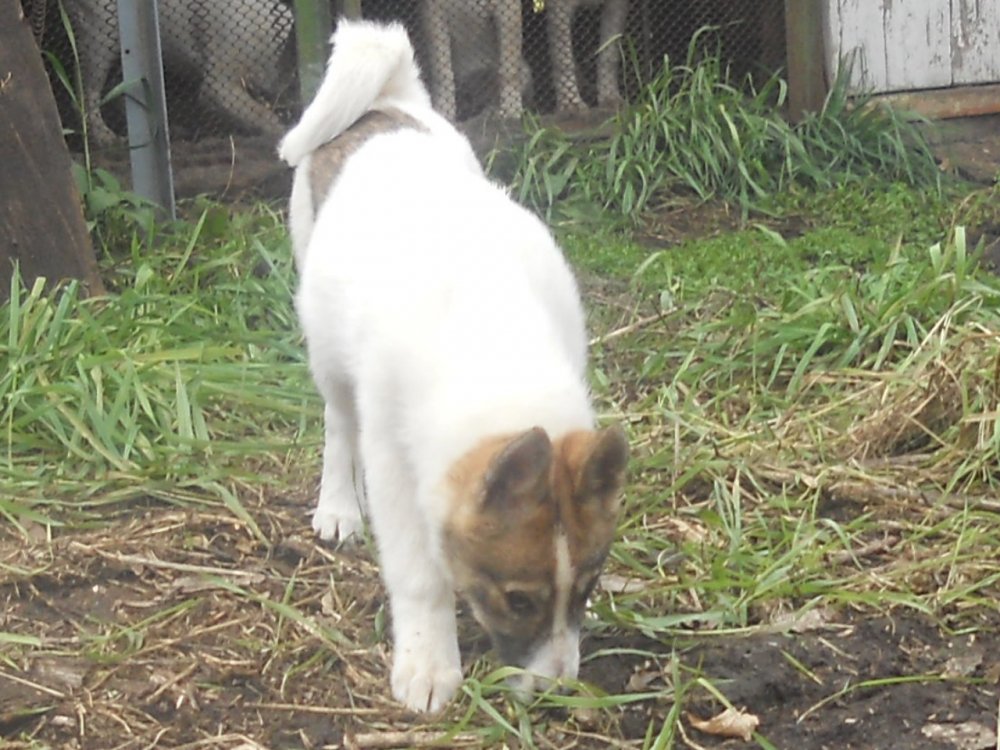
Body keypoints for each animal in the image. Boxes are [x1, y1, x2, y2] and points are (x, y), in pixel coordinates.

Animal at [278, 19, 628, 713]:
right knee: (338, 424)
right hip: (326, 346)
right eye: (516, 599)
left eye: (587, 587)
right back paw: (339, 506)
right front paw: (428, 663)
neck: (495, 342)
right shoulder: (394, 459)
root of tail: (385, 103)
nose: (557, 692)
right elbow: (419, 573)